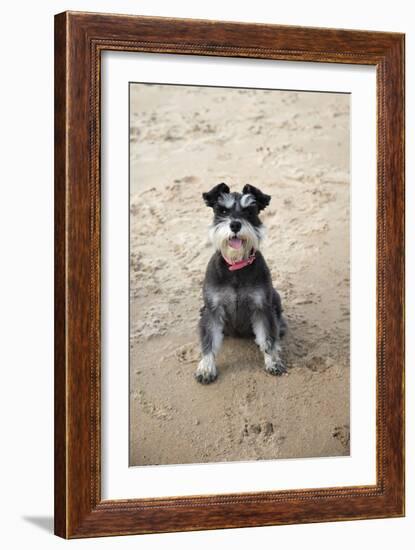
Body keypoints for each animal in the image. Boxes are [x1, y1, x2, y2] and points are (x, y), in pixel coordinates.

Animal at [197, 183, 288, 386]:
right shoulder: (212, 309)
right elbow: (209, 340)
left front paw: (273, 362)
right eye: (222, 210)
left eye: (249, 211)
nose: (235, 225)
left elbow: (268, 337)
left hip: (275, 298)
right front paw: (206, 368)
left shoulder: (262, 307)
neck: (236, 266)